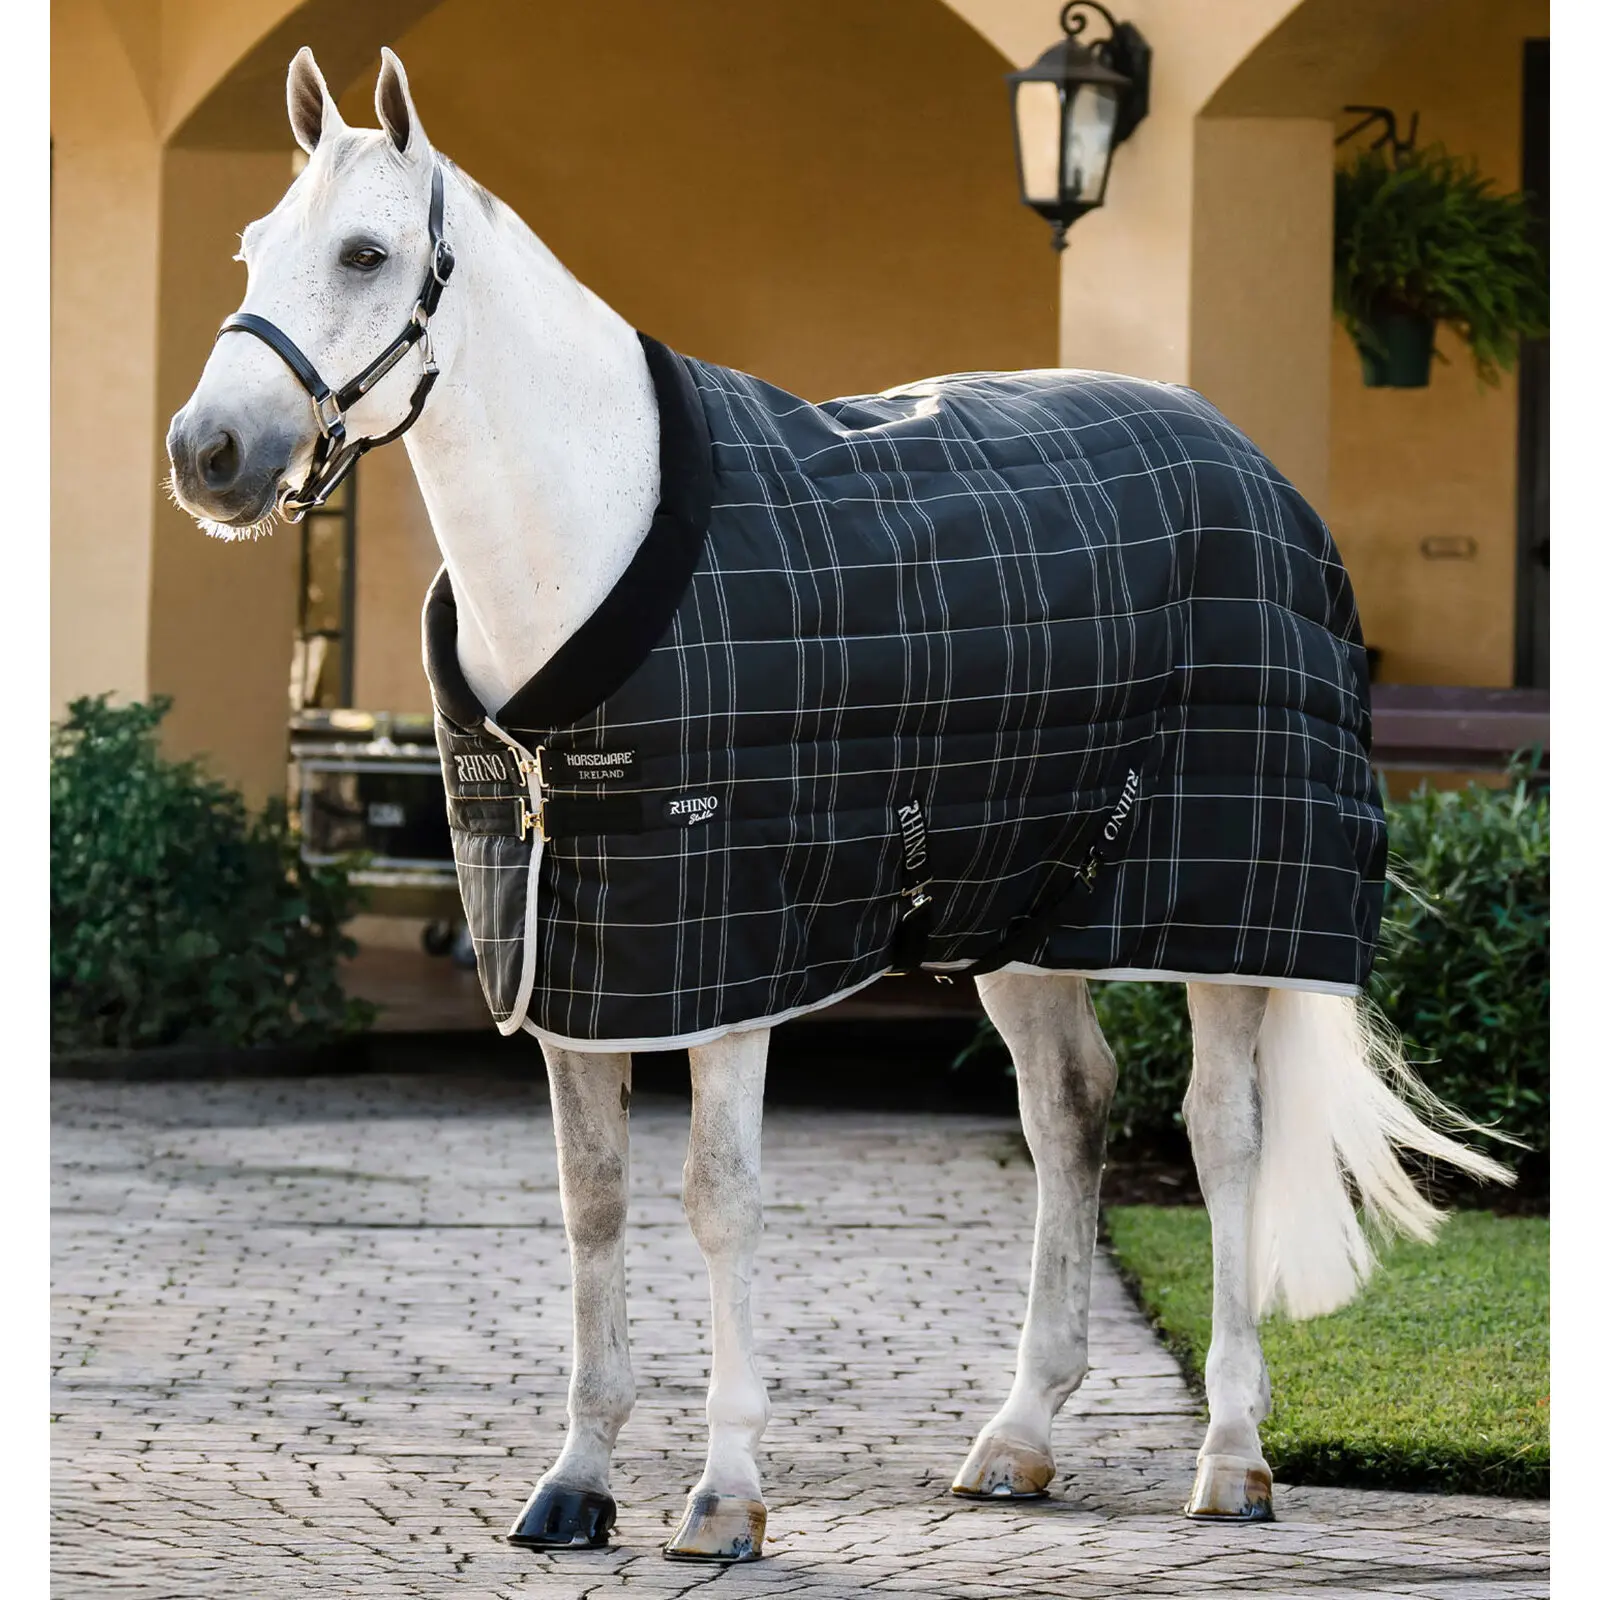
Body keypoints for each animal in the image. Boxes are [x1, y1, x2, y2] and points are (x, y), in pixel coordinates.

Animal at [165, 46, 1510, 1565]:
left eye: (366, 252)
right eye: (252, 247)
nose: (208, 452)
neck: (596, 539)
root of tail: (1253, 463)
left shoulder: (727, 960)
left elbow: (718, 1198)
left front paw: (722, 1494)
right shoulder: (571, 957)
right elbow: (593, 1203)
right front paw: (576, 1479)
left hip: (1225, 924)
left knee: (1221, 1137)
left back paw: (1231, 1454)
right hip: (1022, 912)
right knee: (1071, 1111)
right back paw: (1018, 1437)